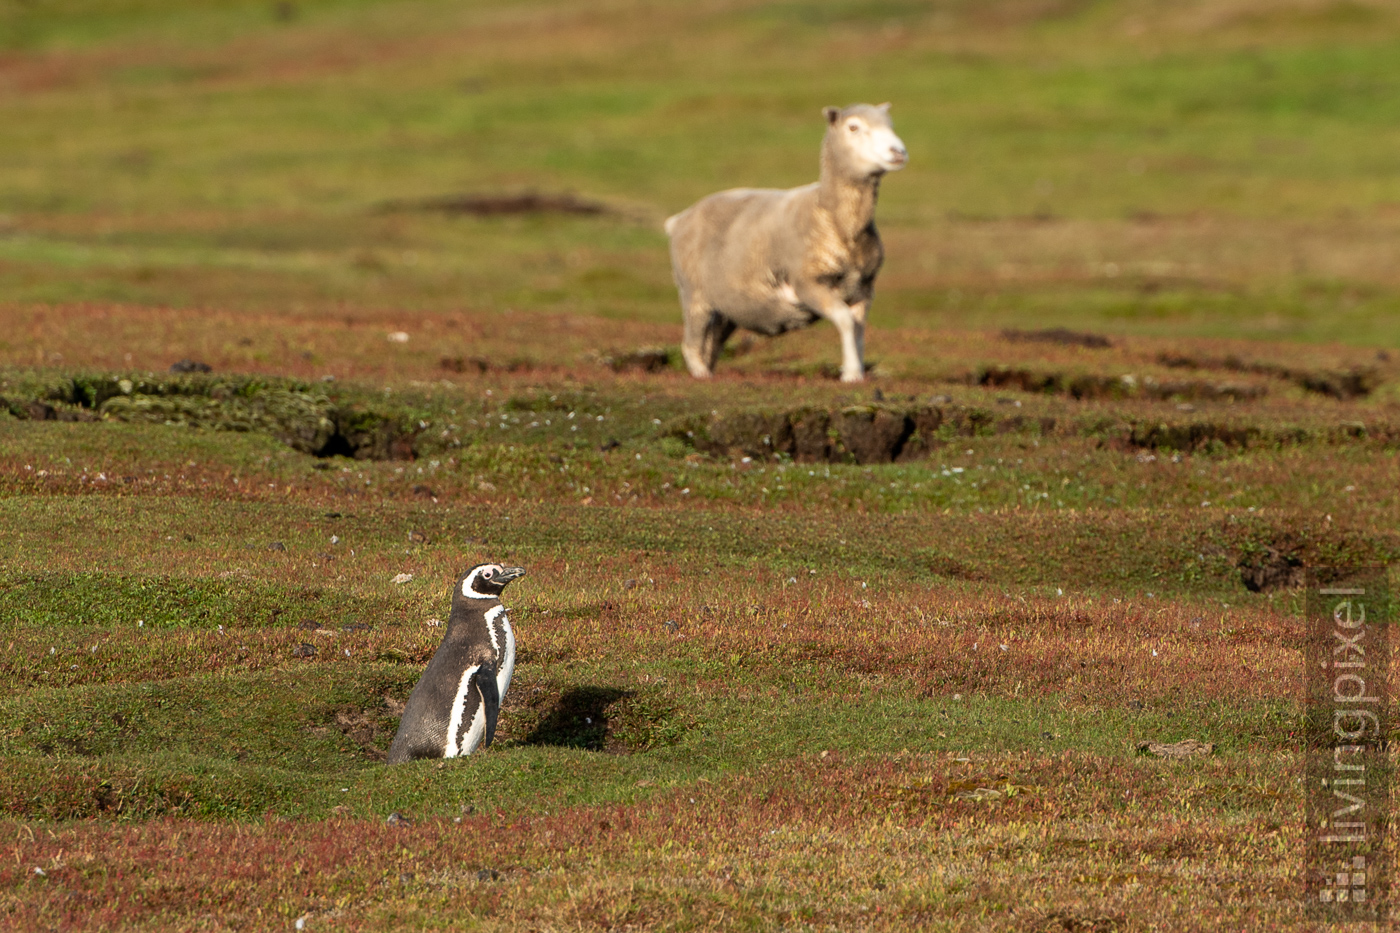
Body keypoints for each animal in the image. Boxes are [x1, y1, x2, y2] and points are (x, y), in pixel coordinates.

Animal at [663, 101, 907, 378]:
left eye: (890, 125)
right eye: (853, 127)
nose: (898, 151)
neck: (834, 218)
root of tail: (679, 219)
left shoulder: (863, 289)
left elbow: (858, 330)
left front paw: (857, 371)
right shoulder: (806, 283)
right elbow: (845, 321)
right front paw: (852, 374)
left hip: (728, 307)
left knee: (711, 344)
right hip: (693, 294)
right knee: (691, 344)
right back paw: (702, 376)